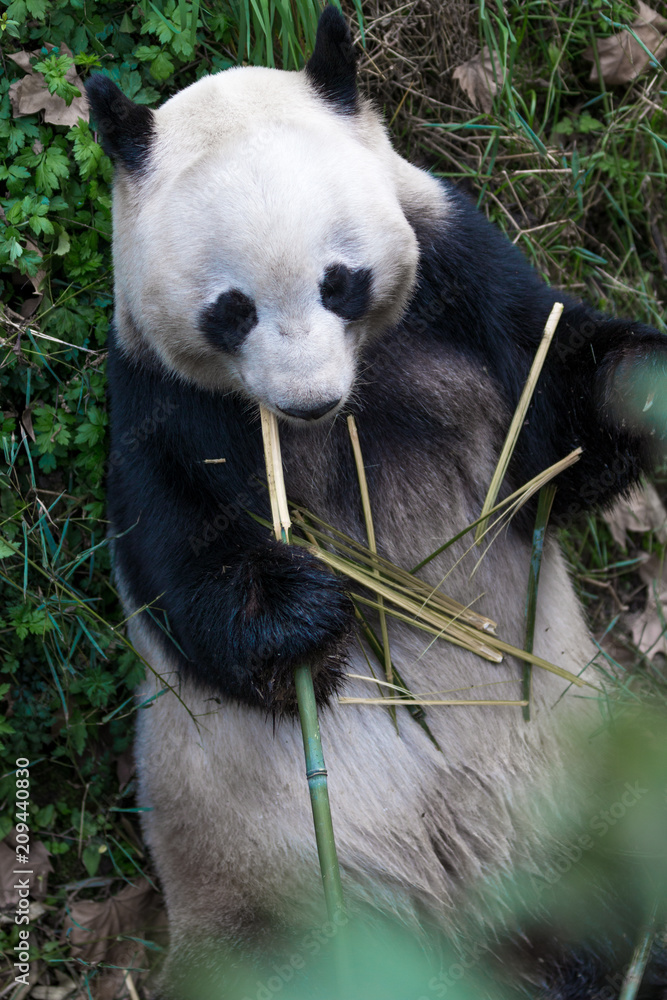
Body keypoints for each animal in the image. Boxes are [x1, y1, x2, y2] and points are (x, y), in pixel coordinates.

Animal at [86, 7, 667, 1000]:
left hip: (588, 791)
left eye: (340, 281)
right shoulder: (154, 391)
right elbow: (177, 550)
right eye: (230, 310)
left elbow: (559, 422)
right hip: (265, 894)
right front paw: (306, 615)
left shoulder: (457, 277)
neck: (356, 404)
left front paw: (641, 385)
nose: (307, 402)